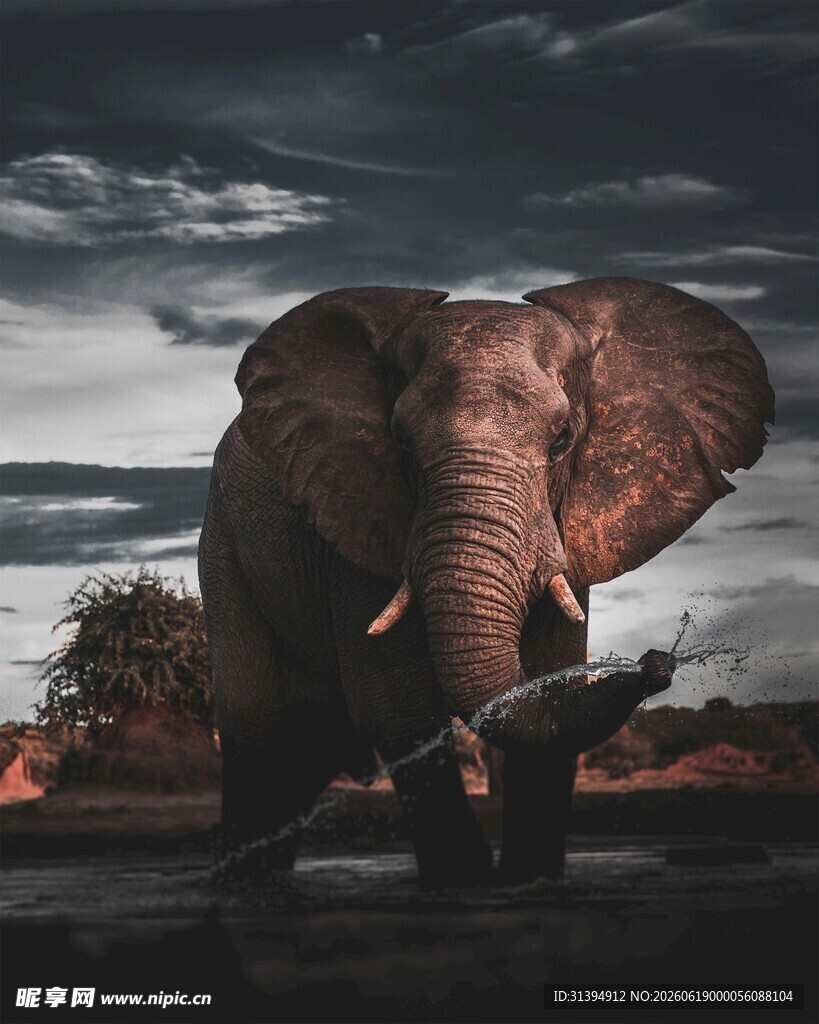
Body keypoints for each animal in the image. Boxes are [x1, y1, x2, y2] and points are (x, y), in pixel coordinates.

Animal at [199, 278, 773, 886]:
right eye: (400, 442)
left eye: (563, 439)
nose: (656, 662)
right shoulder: (357, 519)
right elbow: (397, 709)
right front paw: (465, 881)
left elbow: (547, 682)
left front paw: (529, 879)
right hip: (225, 547)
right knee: (257, 729)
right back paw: (242, 883)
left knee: (311, 746)